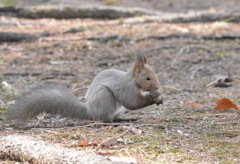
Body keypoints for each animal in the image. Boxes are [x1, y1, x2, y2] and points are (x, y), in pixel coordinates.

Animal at [8, 52, 163, 123]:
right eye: (148, 78)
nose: (157, 87)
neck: (132, 80)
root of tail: (90, 110)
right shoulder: (126, 88)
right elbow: (132, 102)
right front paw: (153, 98)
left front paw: (158, 96)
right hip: (105, 98)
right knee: (106, 120)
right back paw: (116, 122)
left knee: (114, 117)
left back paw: (126, 119)